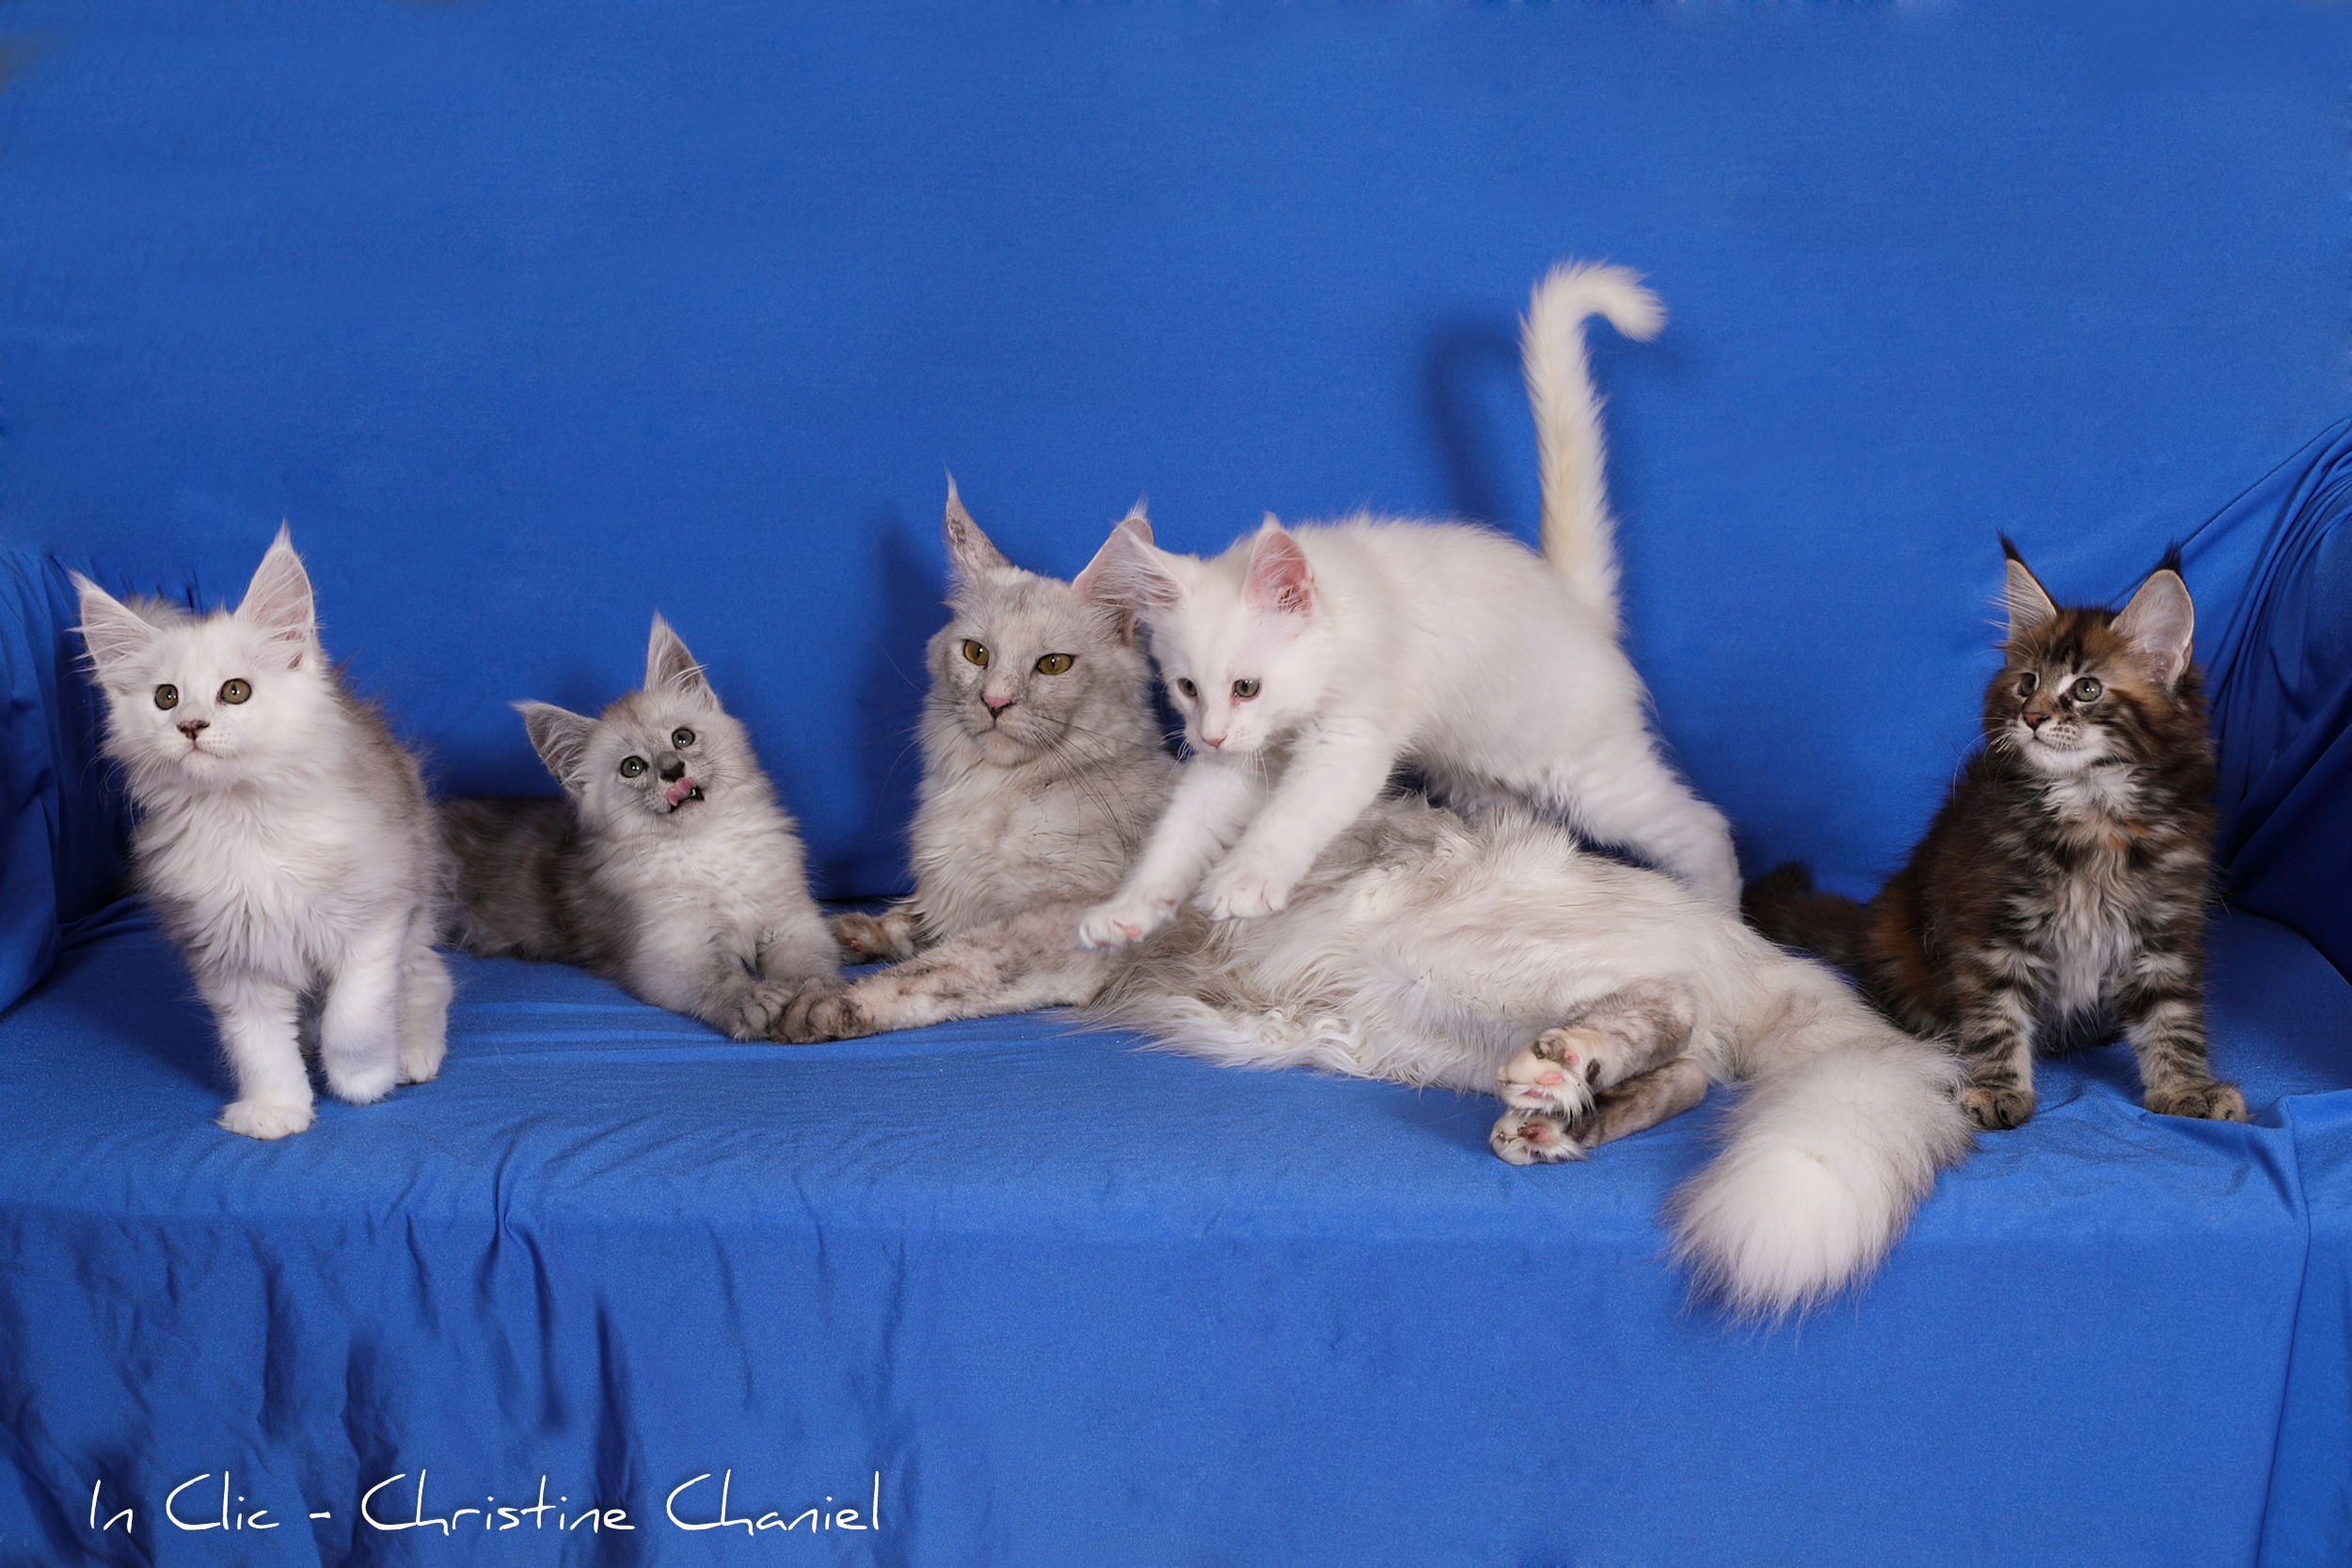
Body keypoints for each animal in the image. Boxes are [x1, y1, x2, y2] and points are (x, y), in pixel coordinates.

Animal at [73, 527, 451, 1140]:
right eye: (166, 698)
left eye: (234, 691)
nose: (191, 726)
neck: (245, 820)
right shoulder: (231, 957)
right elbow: (258, 1045)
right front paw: (276, 1109)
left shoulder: (376, 916)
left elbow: (356, 1016)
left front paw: (364, 1079)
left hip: (416, 903)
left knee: (427, 975)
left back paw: (413, 1050)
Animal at [439, 614, 839, 1040]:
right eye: (632, 767)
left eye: (683, 738)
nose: (673, 770)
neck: (706, 845)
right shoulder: (664, 953)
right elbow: (717, 978)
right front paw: (753, 1000)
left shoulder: (793, 923)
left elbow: (809, 968)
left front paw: (813, 1001)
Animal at [784, 511, 1974, 1320]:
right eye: (975, 653)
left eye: (1052, 666)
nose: (991, 705)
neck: (992, 792)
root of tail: (1748, 944)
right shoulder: (960, 894)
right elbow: (905, 921)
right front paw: (835, 939)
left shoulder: (1051, 933)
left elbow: (943, 971)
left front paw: (816, 1006)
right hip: (1425, 1035)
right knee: (1685, 1074)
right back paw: (1556, 1118)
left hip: (1480, 967)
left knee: (1667, 1011)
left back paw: (1567, 1068)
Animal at [1072, 261, 1739, 954]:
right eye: (1186, 689)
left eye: (1246, 687)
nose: (1210, 734)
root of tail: (1572, 602)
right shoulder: (1235, 765)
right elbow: (1178, 834)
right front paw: (1129, 908)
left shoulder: (1349, 739)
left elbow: (1287, 819)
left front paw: (1243, 881)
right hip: (1481, 780)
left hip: (1584, 774)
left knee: (1703, 823)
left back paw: (1720, 914)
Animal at [1744, 539, 2245, 1132]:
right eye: (2027, 683)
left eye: (2086, 689)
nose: (2031, 717)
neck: (2092, 811)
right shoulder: (1991, 926)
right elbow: (1996, 1015)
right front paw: (1994, 1088)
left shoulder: (2163, 930)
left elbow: (2173, 1018)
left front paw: (2186, 1088)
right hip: (1902, 939)